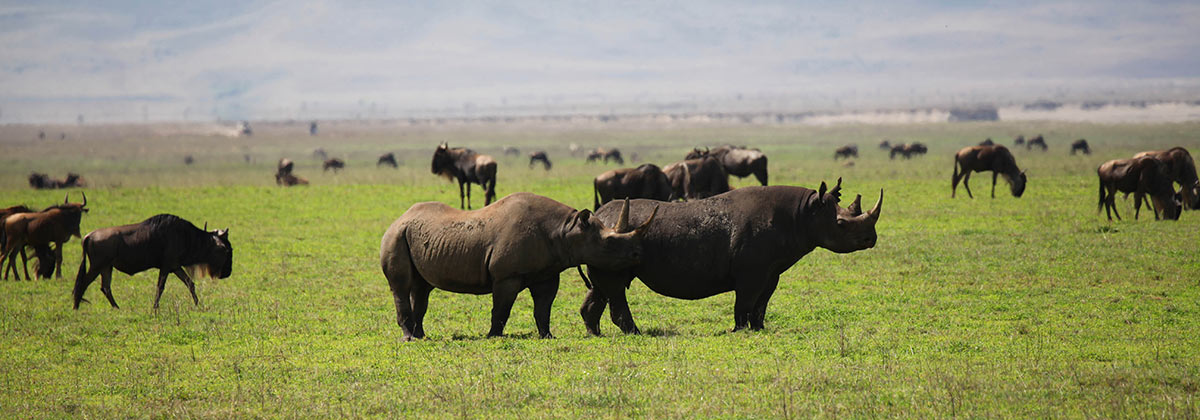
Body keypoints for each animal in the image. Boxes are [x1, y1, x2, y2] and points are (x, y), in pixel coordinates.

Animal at [379, 193, 657, 340]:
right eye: (610, 243)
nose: (638, 254)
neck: (566, 230)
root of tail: (399, 218)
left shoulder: (548, 273)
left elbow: (543, 308)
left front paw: (547, 336)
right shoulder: (506, 276)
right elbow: (501, 309)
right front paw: (493, 336)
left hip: (410, 235)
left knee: (422, 288)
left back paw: (421, 335)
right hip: (395, 236)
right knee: (401, 287)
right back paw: (409, 338)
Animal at [580, 180, 883, 333]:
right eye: (842, 224)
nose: (871, 240)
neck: (804, 212)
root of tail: (598, 216)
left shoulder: (771, 270)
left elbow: (761, 303)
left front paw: (759, 330)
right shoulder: (751, 271)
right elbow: (745, 301)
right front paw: (739, 331)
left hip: (606, 243)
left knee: (602, 289)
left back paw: (595, 334)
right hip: (615, 239)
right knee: (616, 289)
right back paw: (636, 333)